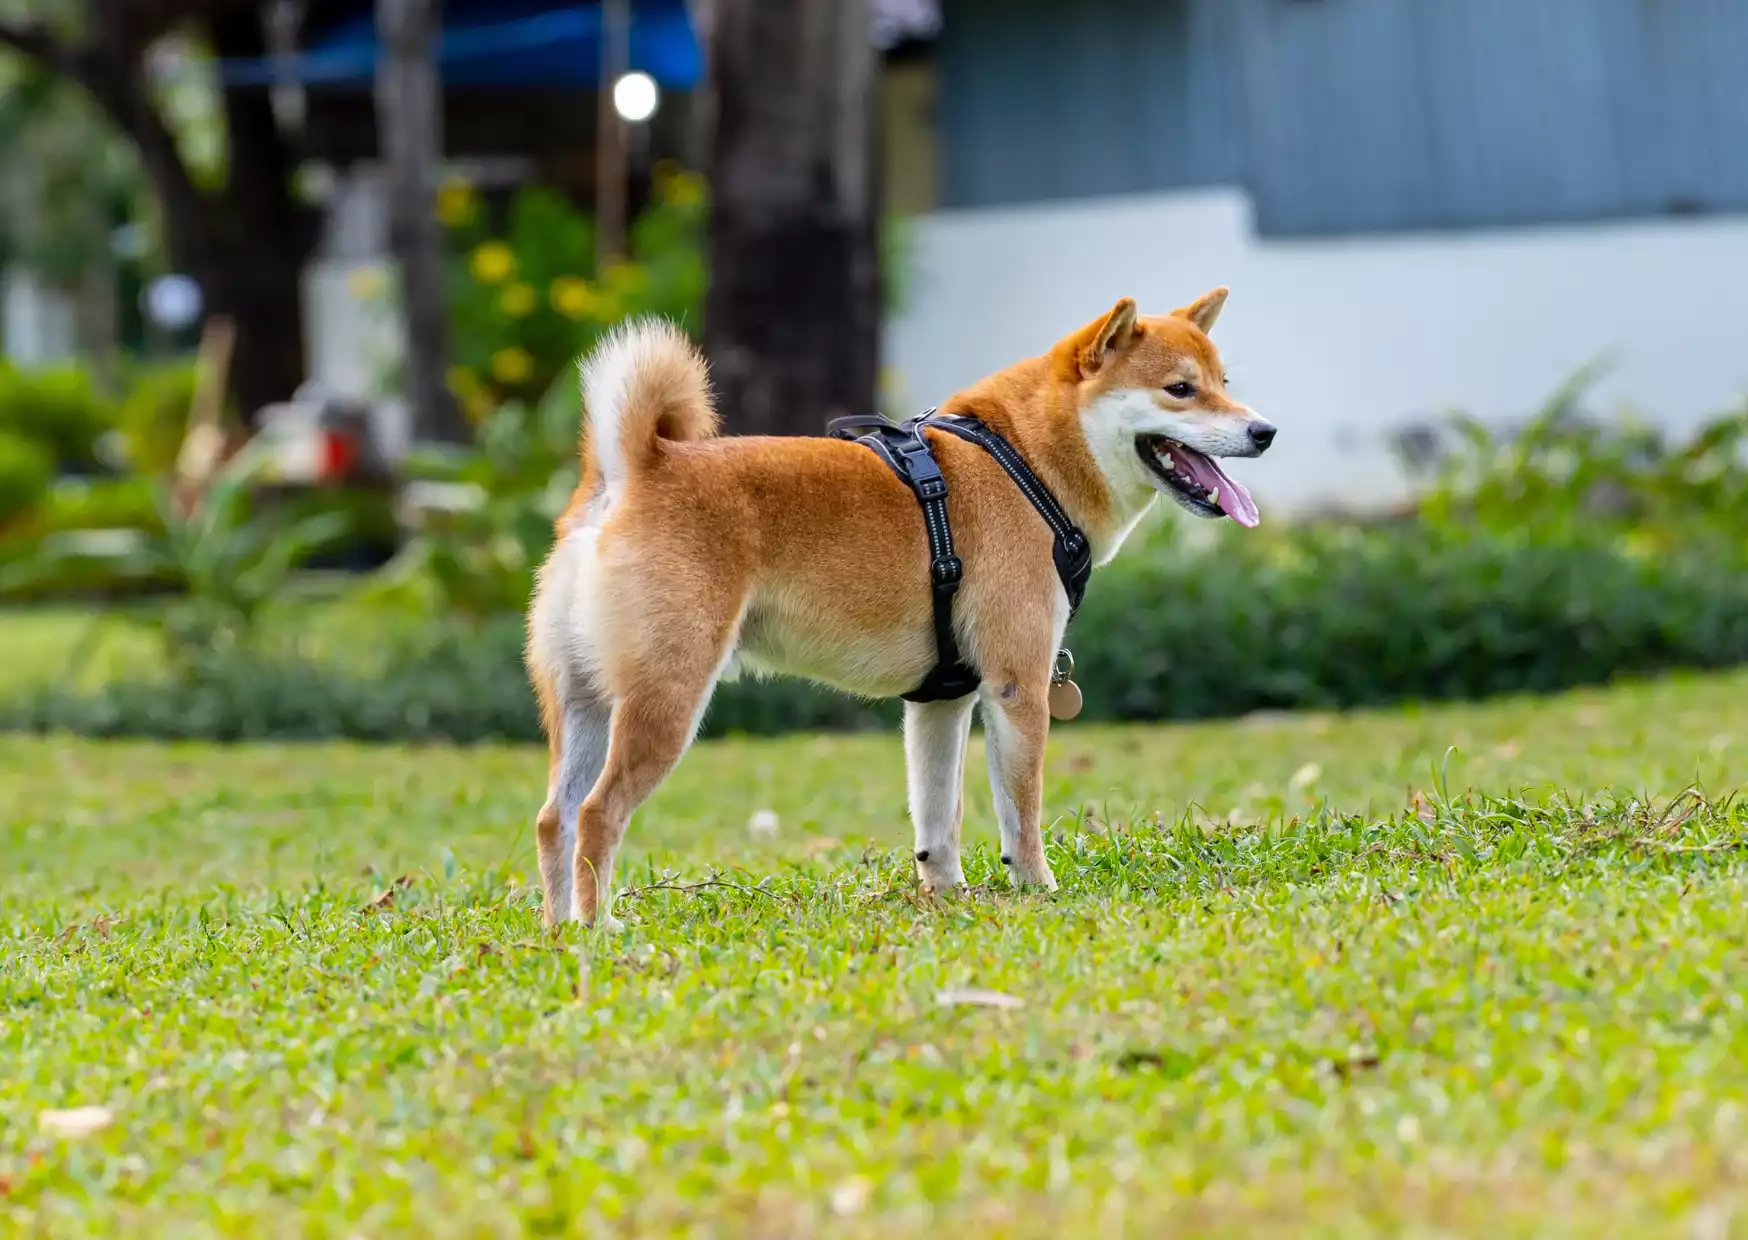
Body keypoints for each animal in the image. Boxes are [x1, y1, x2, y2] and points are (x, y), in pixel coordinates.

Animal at [524, 288, 1279, 930]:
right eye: (1180, 389)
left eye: (1224, 384)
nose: (1266, 431)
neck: (1027, 464)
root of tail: (633, 472)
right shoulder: (1017, 687)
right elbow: (1022, 813)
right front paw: (1036, 887)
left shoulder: (942, 698)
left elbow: (937, 821)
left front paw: (947, 897)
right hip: (667, 701)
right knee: (597, 813)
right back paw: (598, 927)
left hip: (584, 705)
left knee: (555, 818)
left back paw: (559, 929)